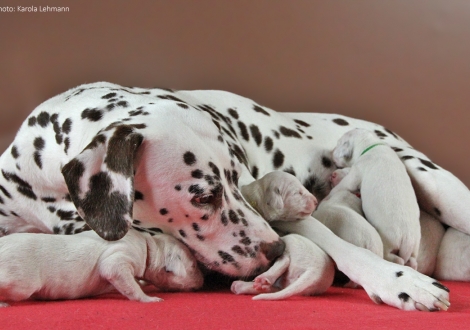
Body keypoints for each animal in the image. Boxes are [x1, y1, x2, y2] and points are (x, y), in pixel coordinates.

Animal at [0, 228, 204, 306]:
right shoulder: (121, 254)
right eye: (194, 265)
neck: (149, 245)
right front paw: (148, 298)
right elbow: (113, 269)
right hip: (21, 280)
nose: (203, 282)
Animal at [330, 127, 422, 270]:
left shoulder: (357, 172)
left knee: (395, 258)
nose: (330, 152)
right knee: (412, 261)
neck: (371, 145)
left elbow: (345, 184)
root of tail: (408, 240)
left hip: (388, 243)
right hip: (415, 248)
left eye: (339, 142)